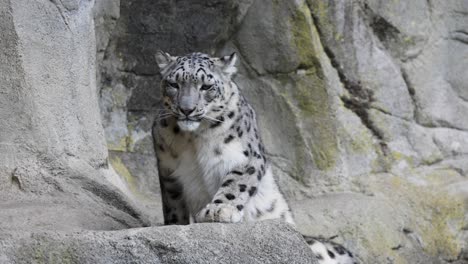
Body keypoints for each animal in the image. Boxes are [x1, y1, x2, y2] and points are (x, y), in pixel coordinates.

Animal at [153, 50, 354, 262]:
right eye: (174, 84)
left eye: (206, 86)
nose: (186, 109)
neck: (193, 138)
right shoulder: (167, 169)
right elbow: (173, 204)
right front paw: (175, 226)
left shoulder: (246, 157)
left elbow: (234, 184)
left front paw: (217, 210)